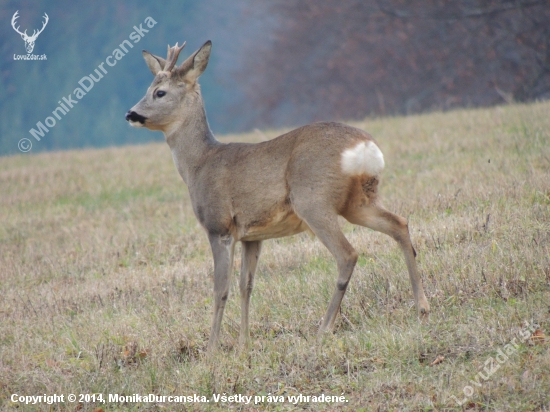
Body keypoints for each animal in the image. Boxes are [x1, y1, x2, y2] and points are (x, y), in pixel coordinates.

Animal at [128, 41, 432, 350]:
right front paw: (244, 343)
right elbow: (246, 285)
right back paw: (422, 306)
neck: (199, 164)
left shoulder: (219, 226)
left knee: (348, 254)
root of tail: (366, 147)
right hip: (359, 201)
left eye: (159, 92)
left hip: (313, 200)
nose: (131, 114)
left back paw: (324, 328)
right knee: (399, 224)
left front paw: (212, 349)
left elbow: (220, 288)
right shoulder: (252, 235)